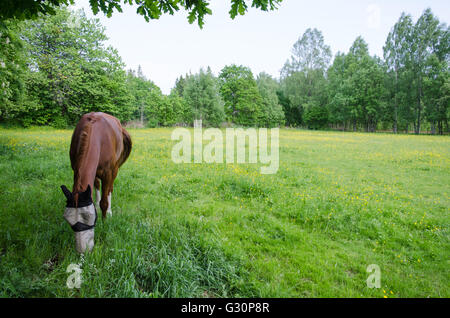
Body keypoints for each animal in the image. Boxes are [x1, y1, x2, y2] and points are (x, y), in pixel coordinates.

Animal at [59, 112, 131, 253]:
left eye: (90, 219)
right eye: (68, 221)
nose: (83, 251)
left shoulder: (109, 173)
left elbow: (105, 201)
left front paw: (105, 221)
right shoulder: (76, 168)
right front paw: (97, 205)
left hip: (114, 170)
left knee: (109, 189)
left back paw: (109, 210)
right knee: (97, 185)